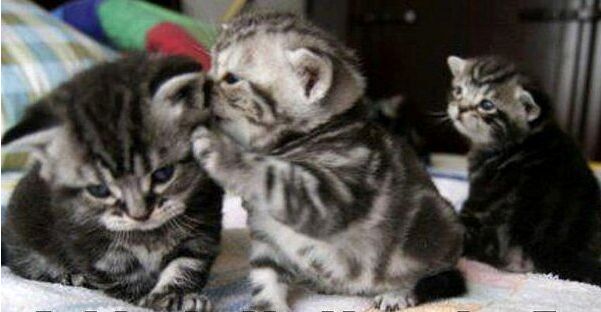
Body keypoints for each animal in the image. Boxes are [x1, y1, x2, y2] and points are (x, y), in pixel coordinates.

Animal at [2, 54, 223, 312]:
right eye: (99, 190)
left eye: (163, 174)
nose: (140, 215)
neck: (146, 234)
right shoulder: (87, 240)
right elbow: (121, 274)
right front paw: (141, 299)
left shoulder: (204, 220)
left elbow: (189, 261)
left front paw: (175, 296)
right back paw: (70, 276)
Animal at [192, 13, 464, 310]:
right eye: (211, 66)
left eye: (230, 79)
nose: (199, 83)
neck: (307, 136)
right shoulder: (266, 234)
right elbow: (265, 275)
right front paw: (268, 305)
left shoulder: (335, 192)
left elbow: (268, 175)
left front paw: (216, 146)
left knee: (433, 276)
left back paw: (399, 292)